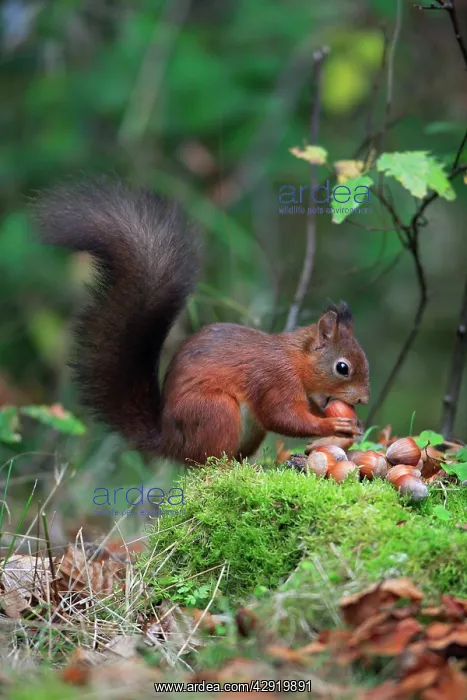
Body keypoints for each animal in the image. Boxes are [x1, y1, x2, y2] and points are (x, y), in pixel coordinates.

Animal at [33, 178, 370, 465]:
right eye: (342, 368)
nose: (364, 399)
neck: (295, 360)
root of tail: (170, 443)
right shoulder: (275, 380)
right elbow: (284, 417)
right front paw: (333, 424)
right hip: (216, 412)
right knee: (207, 462)